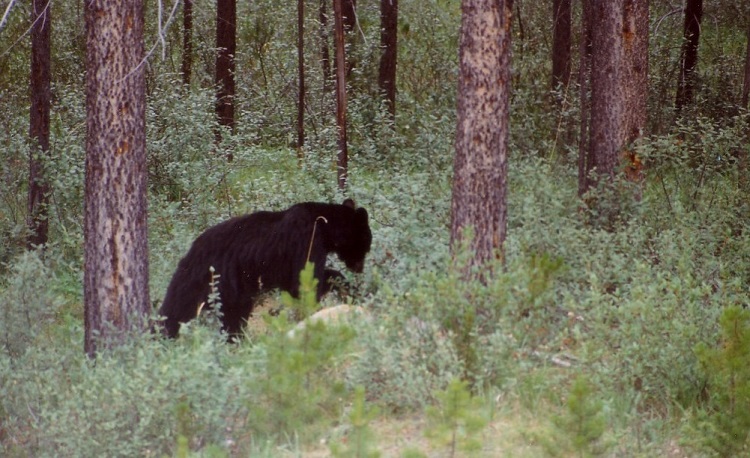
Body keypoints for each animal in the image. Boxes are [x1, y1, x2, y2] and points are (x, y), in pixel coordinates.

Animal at [159, 199, 374, 338]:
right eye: (366, 242)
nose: (360, 268)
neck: (324, 225)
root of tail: (190, 251)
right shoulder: (305, 239)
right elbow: (304, 281)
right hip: (204, 279)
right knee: (177, 307)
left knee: (232, 315)